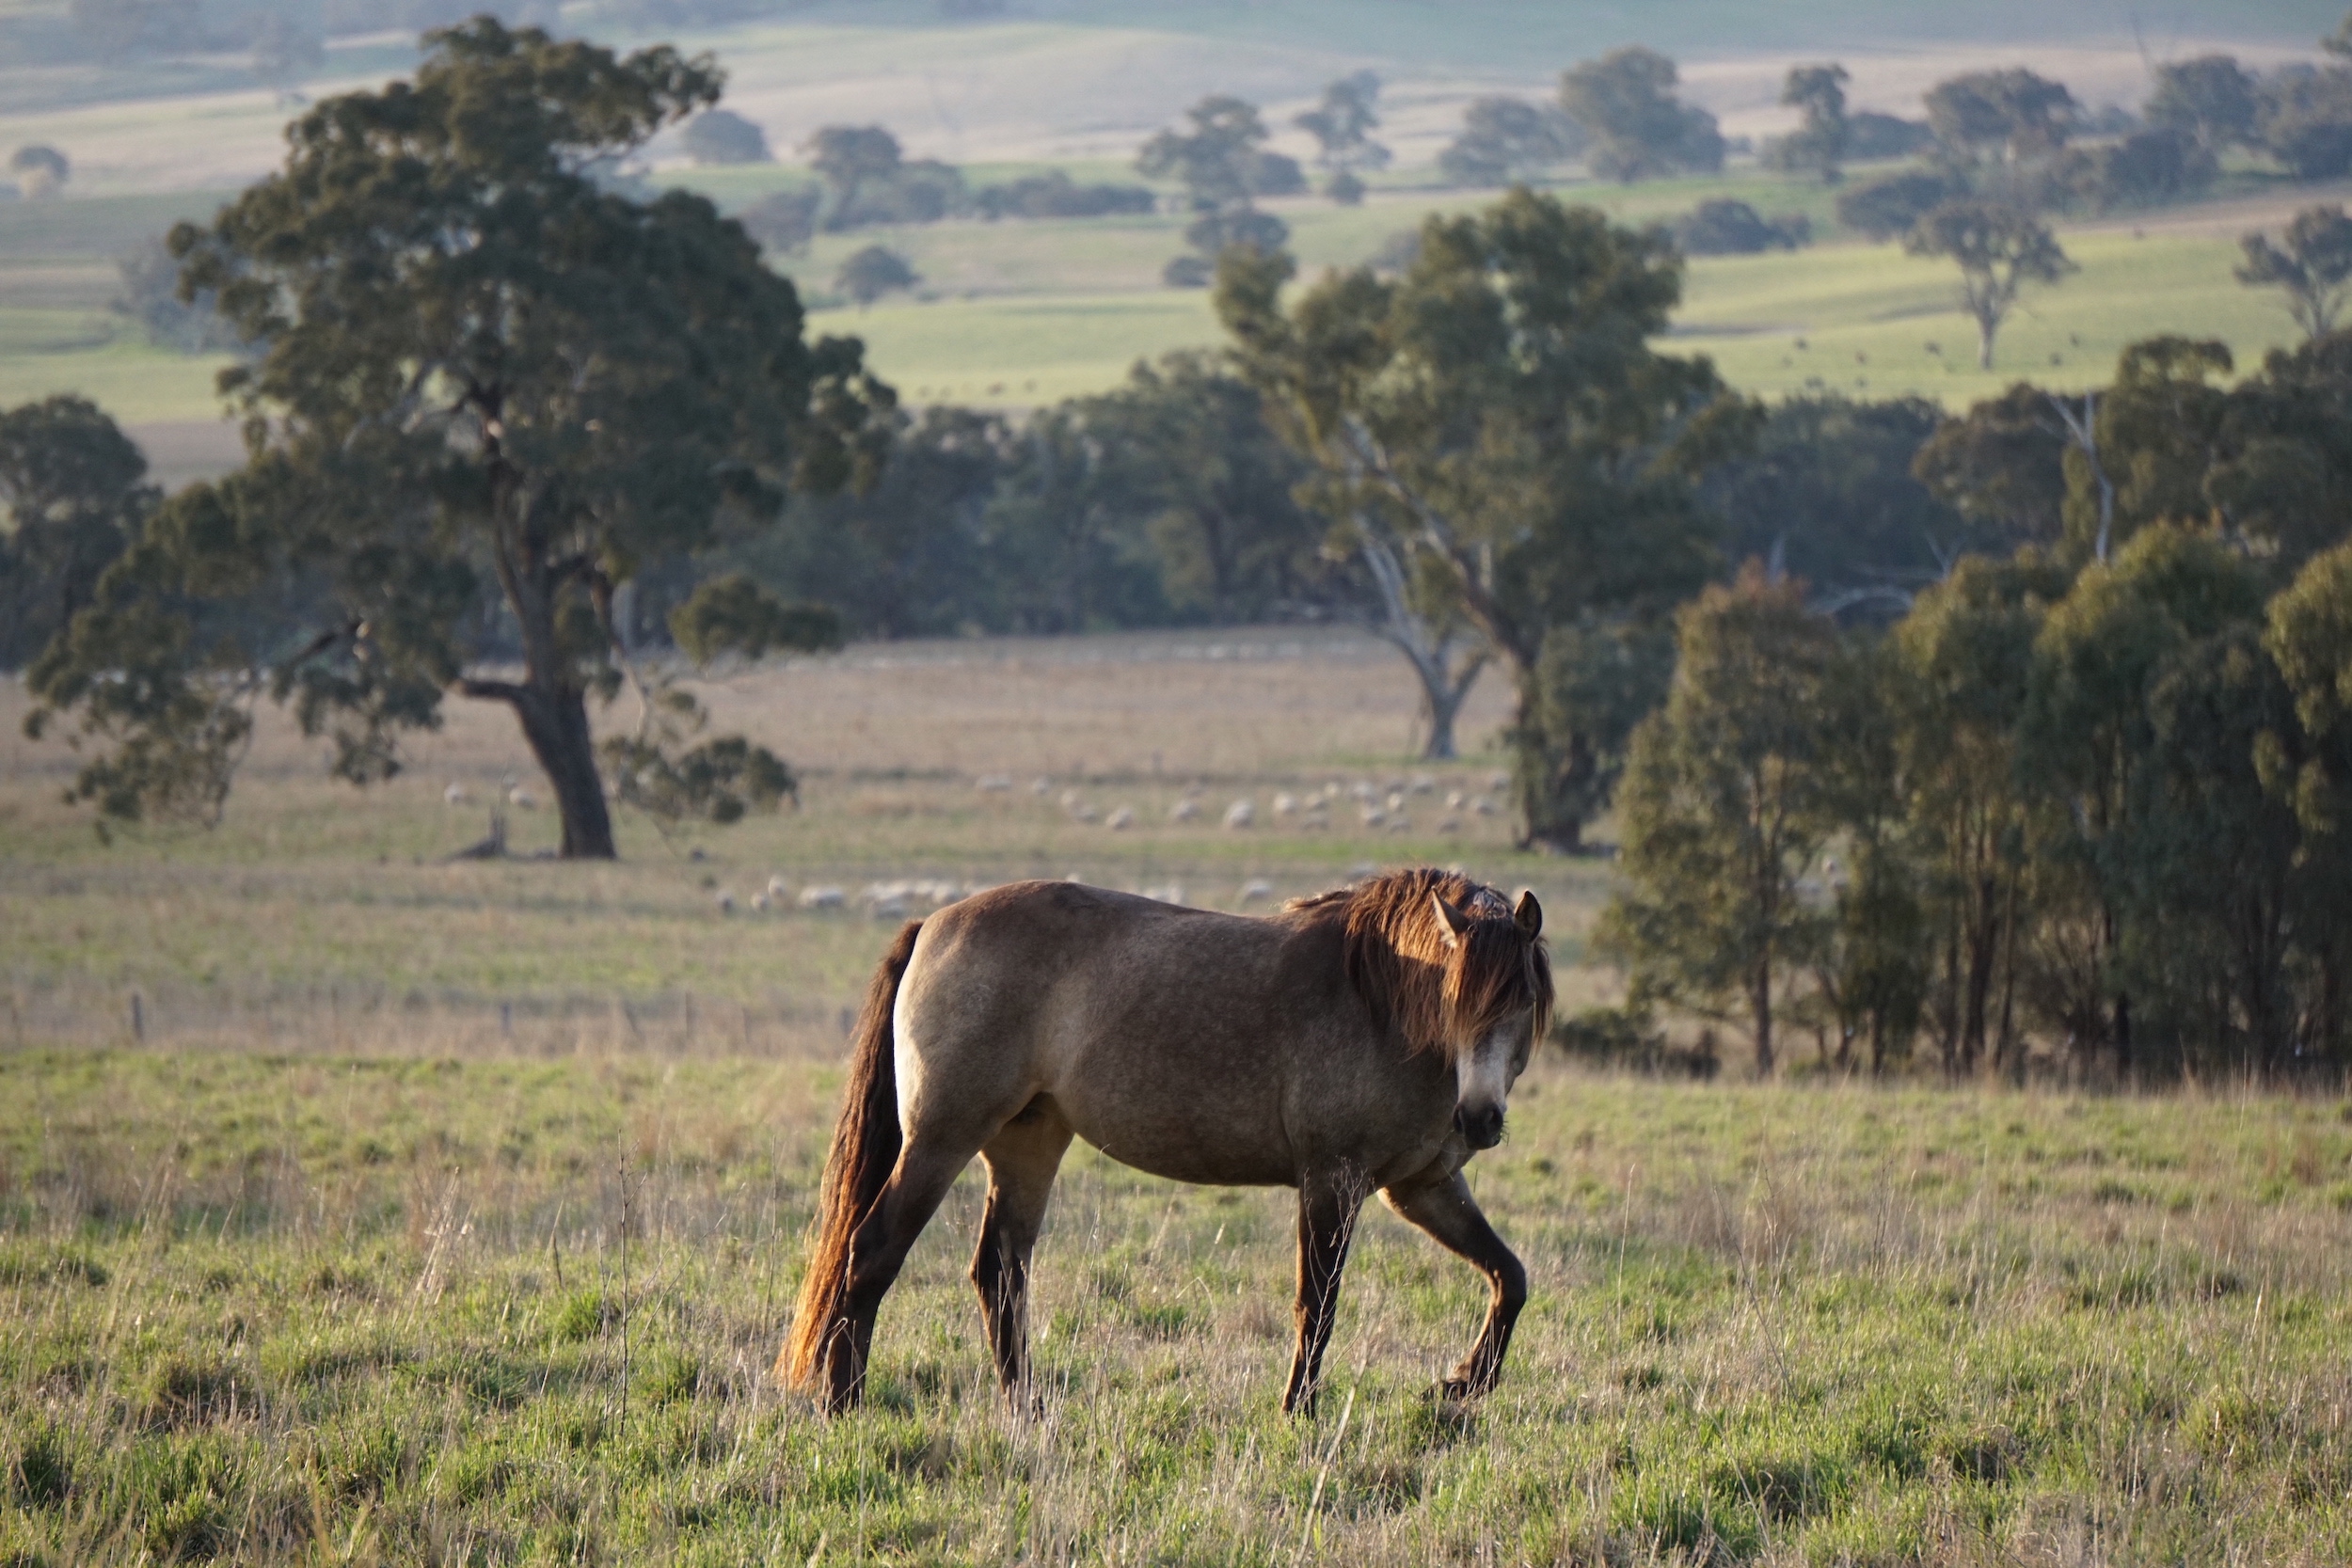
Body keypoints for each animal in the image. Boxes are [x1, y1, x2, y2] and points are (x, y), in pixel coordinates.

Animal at [781, 864, 1552, 1419]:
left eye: (1521, 1001)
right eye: (1460, 1000)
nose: (1479, 1118)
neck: (1381, 1000)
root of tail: (931, 924)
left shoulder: (1420, 1186)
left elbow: (1509, 1276)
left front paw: (1463, 1382)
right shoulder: (1332, 1180)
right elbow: (1318, 1303)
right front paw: (1297, 1413)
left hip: (1029, 1144)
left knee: (999, 1272)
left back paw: (1028, 1409)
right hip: (940, 1140)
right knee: (872, 1249)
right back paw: (843, 1402)